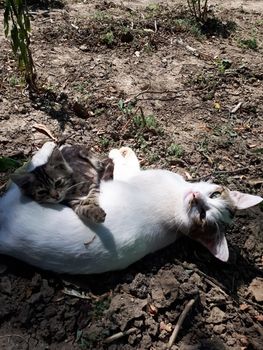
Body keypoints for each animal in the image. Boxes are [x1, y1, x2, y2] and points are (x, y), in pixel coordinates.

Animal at [0, 142, 262, 274]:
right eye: (213, 195)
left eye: (202, 215)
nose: (195, 197)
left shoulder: (127, 177)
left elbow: (127, 163)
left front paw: (121, 152)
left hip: (19, 197)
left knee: (27, 169)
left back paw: (50, 147)